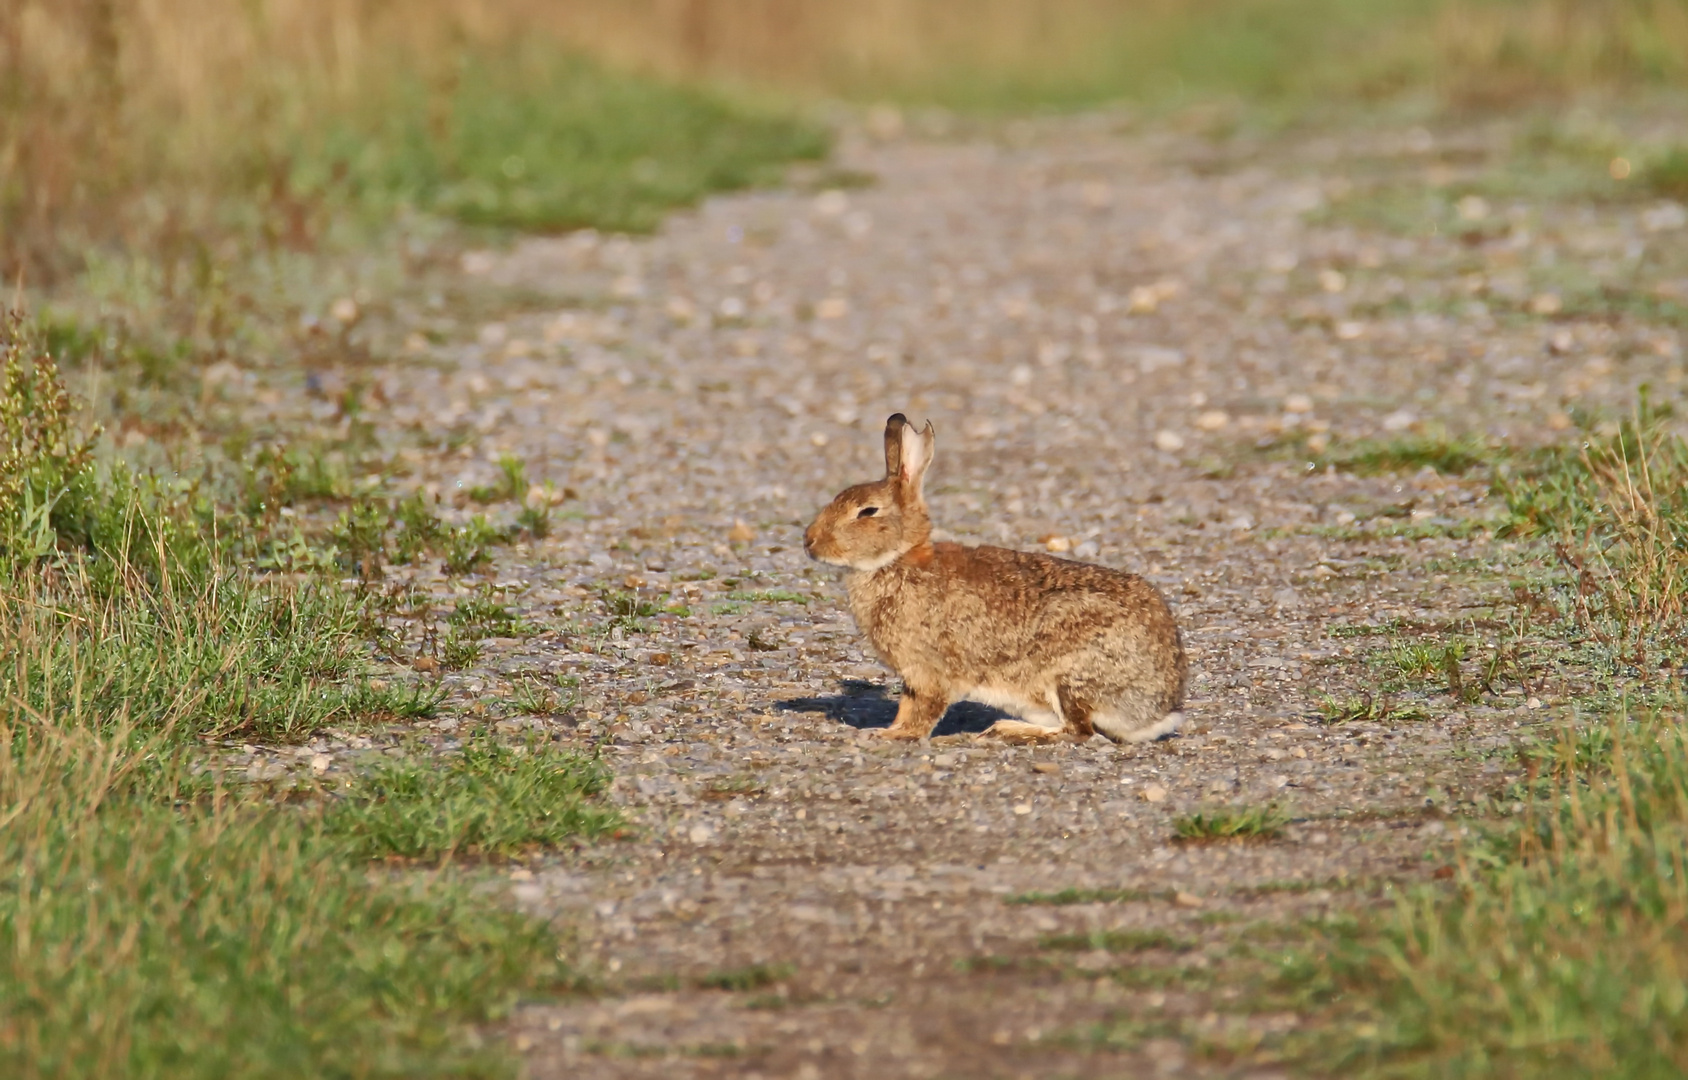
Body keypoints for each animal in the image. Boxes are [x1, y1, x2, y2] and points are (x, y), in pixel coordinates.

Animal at [803, 413, 1188, 742]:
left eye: (867, 512)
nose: (809, 541)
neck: (897, 559)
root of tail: (1160, 708)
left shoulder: (927, 670)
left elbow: (922, 710)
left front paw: (891, 735)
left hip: (1070, 674)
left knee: (1078, 730)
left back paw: (1008, 730)